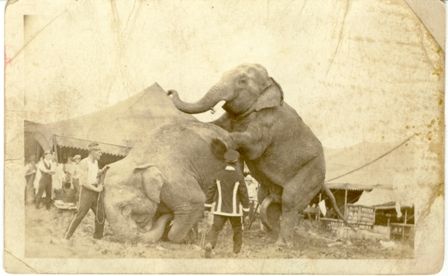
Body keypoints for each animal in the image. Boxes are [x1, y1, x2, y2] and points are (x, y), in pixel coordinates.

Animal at [102, 122, 238, 243]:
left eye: (125, 208)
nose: (170, 216)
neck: (139, 159)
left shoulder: (174, 181)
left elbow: (196, 201)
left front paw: (179, 238)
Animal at [168, 63, 346, 245]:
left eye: (242, 81)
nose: (170, 91)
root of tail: (324, 180)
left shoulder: (267, 121)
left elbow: (253, 146)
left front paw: (221, 142)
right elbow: (215, 124)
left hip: (312, 171)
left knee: (290, 201)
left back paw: (282, 244)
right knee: (268, 201)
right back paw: (271, 237)